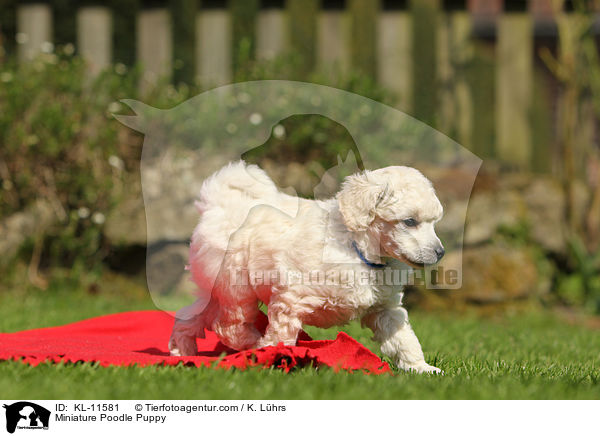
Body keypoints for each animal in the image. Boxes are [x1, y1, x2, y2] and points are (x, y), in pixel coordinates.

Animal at [169, 162, 446, 372]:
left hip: (212, 289)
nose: (440, 252)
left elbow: (403, 339)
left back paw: (181, 353)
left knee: (189, 316)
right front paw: (274, 356)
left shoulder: (385, 309)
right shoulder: (290, 299)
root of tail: (219, 205)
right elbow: (281, 336)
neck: (357, 248)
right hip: (235, 285)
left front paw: (421, 368)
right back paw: (253, 342)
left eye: (434, 222)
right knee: (228, 324)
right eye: (409, 222)